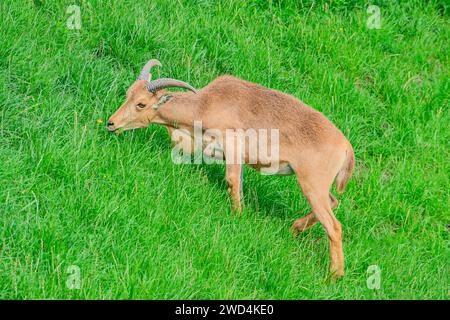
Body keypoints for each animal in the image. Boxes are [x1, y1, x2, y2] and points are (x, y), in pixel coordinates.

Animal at [106, 58, 356, 278]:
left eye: (141, 104)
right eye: (128, 94)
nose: (111, 123)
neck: (205, 106)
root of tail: (346, 148)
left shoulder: (233, 146)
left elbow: (232, 181)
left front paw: (237, 217)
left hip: (312, 183)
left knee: (334, 226)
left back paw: (333, 275)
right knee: (333, 202)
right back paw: (295, 228)